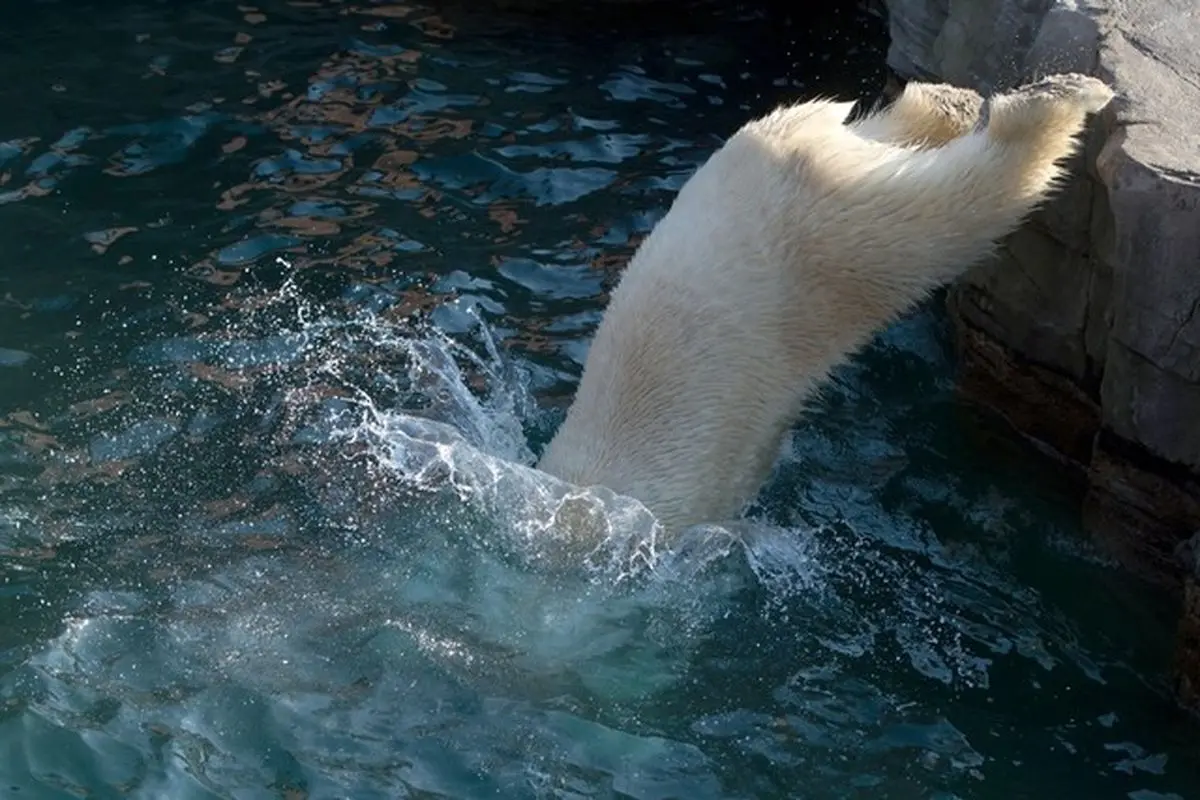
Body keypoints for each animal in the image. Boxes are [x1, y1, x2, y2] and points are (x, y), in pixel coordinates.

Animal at [535, 73, 1113, 537]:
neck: (589, 504)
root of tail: (792, 145)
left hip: (819, 252)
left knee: (948, 214)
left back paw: (1062, 99)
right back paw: (952, 103)